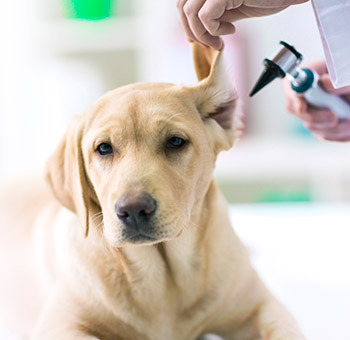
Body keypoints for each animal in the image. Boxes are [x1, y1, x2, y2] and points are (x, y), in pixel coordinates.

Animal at [0, 45, 304, 340]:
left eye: (176, 142)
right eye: (103, 148)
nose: (133, 210)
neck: (164, 279)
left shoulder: (264, 307)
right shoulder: (60, 325)